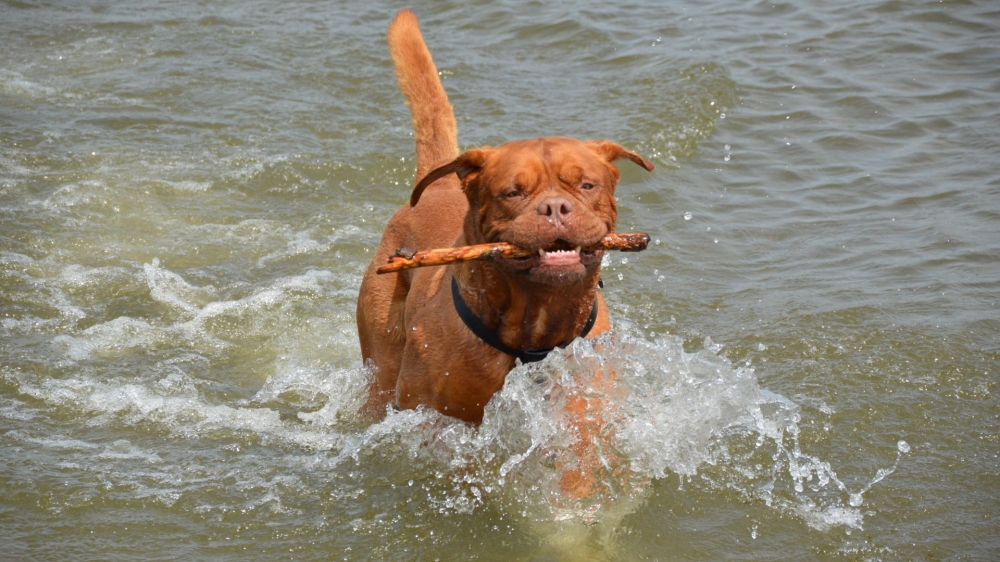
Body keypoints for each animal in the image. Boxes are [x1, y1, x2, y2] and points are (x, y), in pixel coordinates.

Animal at [356, 9, 652, 424]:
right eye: (513, 192)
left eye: (586, 185)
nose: (555, 207)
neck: (534, 335)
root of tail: (438, 184)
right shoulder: (428, 412)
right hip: (381, 360)